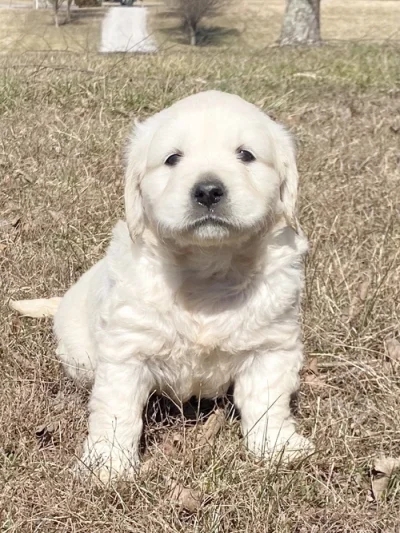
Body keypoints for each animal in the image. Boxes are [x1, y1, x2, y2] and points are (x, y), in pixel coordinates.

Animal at [10, 90, 314, 478]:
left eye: (245, 154)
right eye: (173, 158)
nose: (208, 190)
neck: (206, 268)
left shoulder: (271, 345)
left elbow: (268, 400)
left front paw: (276, 446)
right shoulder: (126, 349)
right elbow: (116, 410)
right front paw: (108, 464)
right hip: (79, 356)